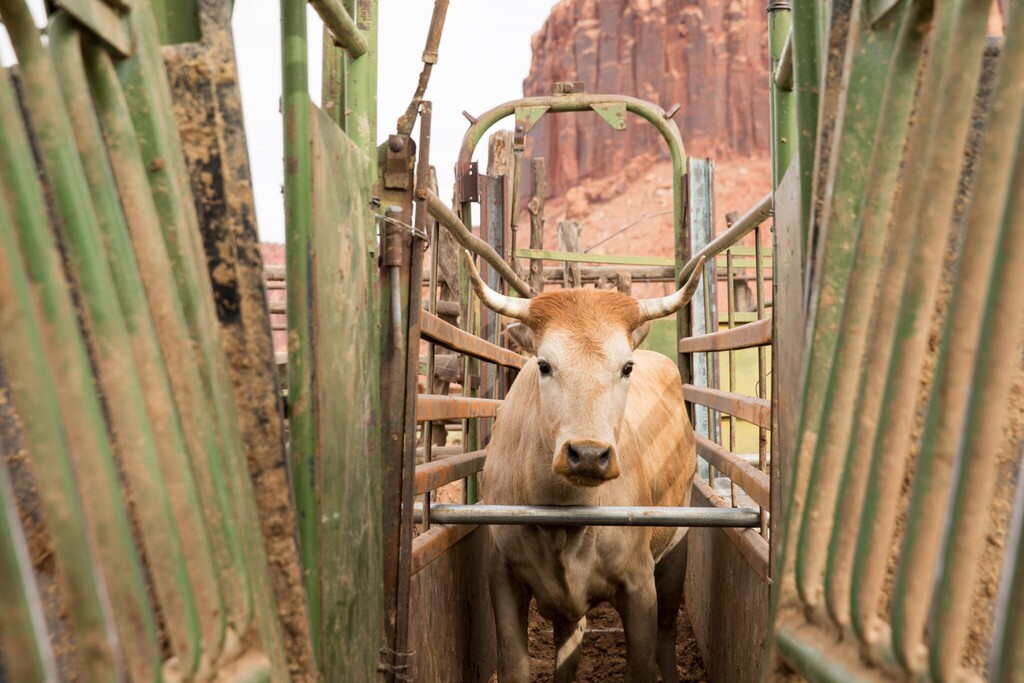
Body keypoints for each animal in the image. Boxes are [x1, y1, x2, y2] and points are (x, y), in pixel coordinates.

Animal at [465, 251, 705, 683]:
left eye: (626, 367)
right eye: (544, 365)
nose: (589, 454)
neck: (565, 520)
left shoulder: (640, 586)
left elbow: (642, 664)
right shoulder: (503, 578)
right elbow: (516, 666)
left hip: (676, 550)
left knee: (667, 636)